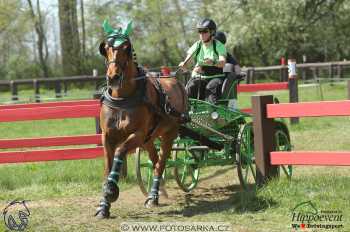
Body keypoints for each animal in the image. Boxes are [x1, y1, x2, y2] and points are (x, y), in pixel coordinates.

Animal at [95, 20, 189, 218]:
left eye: (126, 48)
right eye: (105, 48)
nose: (113, 77)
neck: (123, 99)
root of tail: (176, 80)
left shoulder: (137, 135)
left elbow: (120, 152)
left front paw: (111, 190)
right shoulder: (107, 136)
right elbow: (107, 166)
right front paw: (104, 205)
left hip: (168, 135)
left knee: (161, 163)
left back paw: (153, 197)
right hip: (149, 139)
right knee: (155, 160)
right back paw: (156, 193)